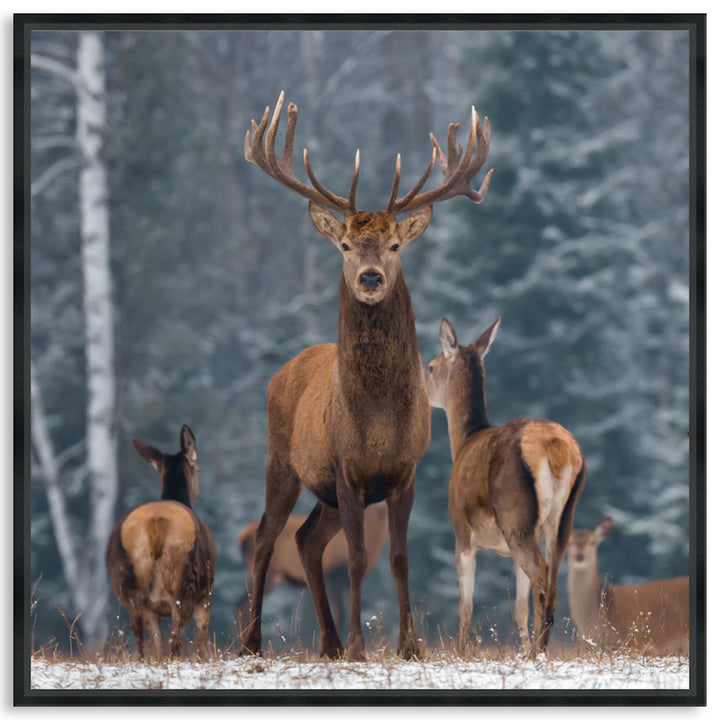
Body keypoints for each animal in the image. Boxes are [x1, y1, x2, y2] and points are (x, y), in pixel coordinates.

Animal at [104, 424, 217, 660]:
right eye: (198, 470)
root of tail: (155, 524)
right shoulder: (207, 592)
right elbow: (201, 637)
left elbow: (158, 640)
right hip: (185, 579)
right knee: (176, 636)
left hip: (123, 581)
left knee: (139, 629)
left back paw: (140, 660)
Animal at [236, 500, 388, 640]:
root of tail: (242, 538)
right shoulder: (335, 577)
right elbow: (340, 614)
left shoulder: (346, 582)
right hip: (268, 574)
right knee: (243, 605)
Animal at [428, 318, 584, 656]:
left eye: (430, 366)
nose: (421, 386)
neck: (462, 444)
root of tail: (555, 446)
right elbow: (518, 608)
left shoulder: (462, 532)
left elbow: (465, 605)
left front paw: (462, 652)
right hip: (562, 519)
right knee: (552, 579)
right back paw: (538, 650)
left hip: (516, 517)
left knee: (542, 575)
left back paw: (538, 650)